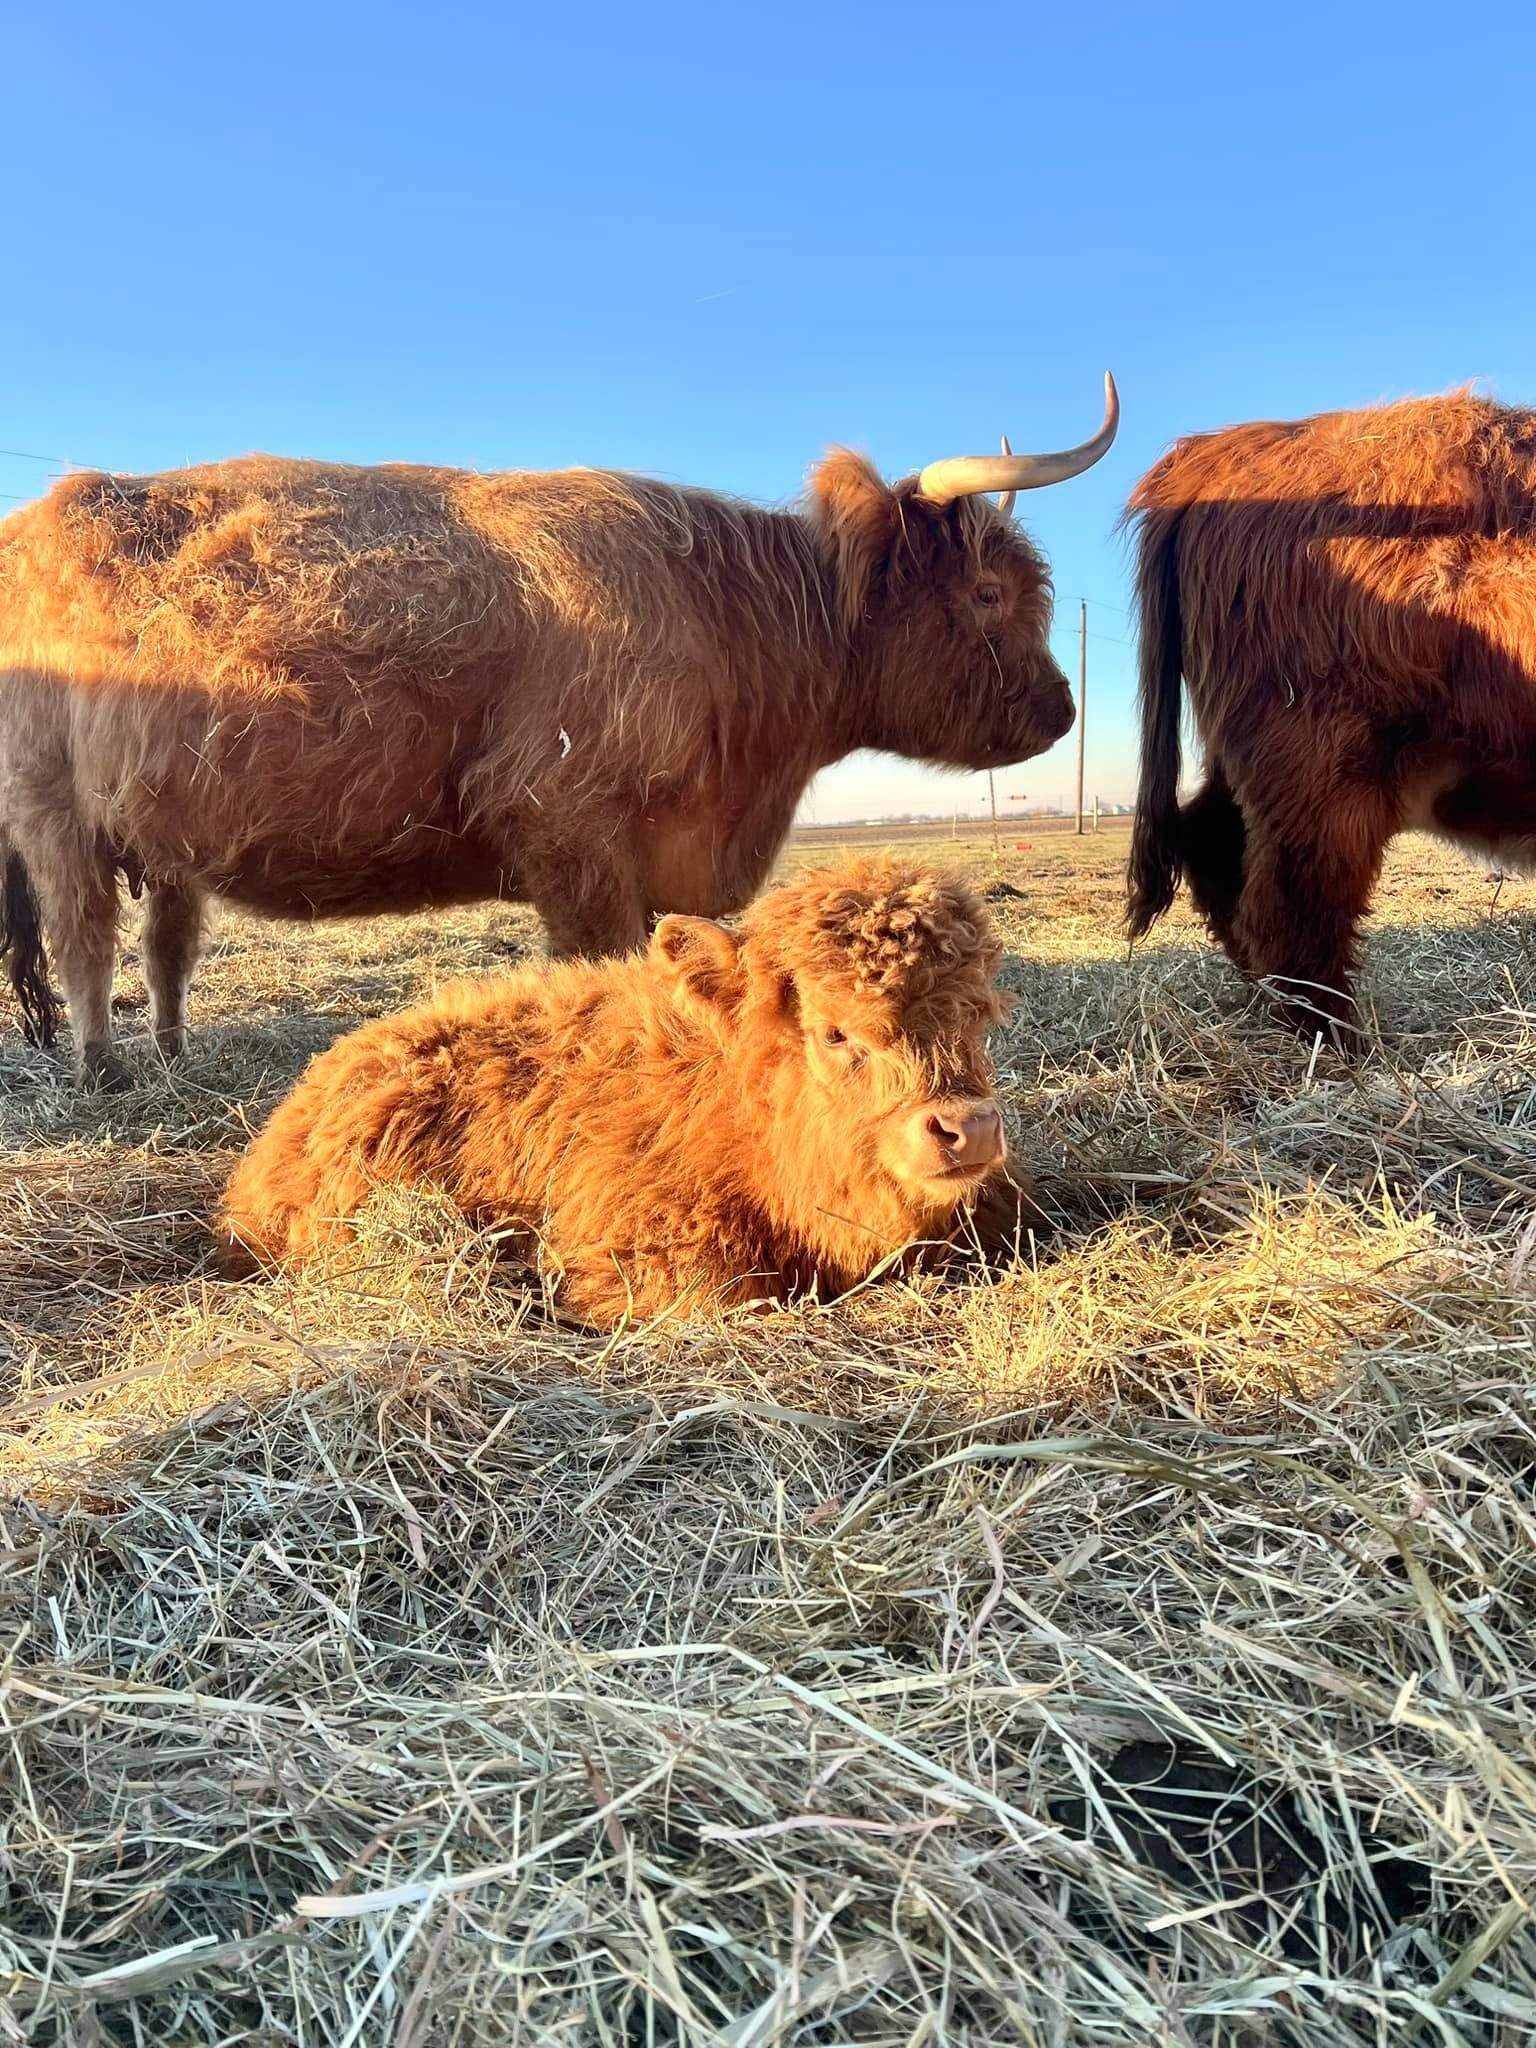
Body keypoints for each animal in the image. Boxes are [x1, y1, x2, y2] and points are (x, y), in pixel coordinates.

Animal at [0, 378, 1117, 1085]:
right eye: (987, 591)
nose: (1061, 708)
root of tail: (41, 512)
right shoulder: (568, 829)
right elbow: (603, 969)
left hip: (163, 836)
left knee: (166, 949)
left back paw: (176, 1054)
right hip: (53, 813)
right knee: (83, 940)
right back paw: (103, 1069)